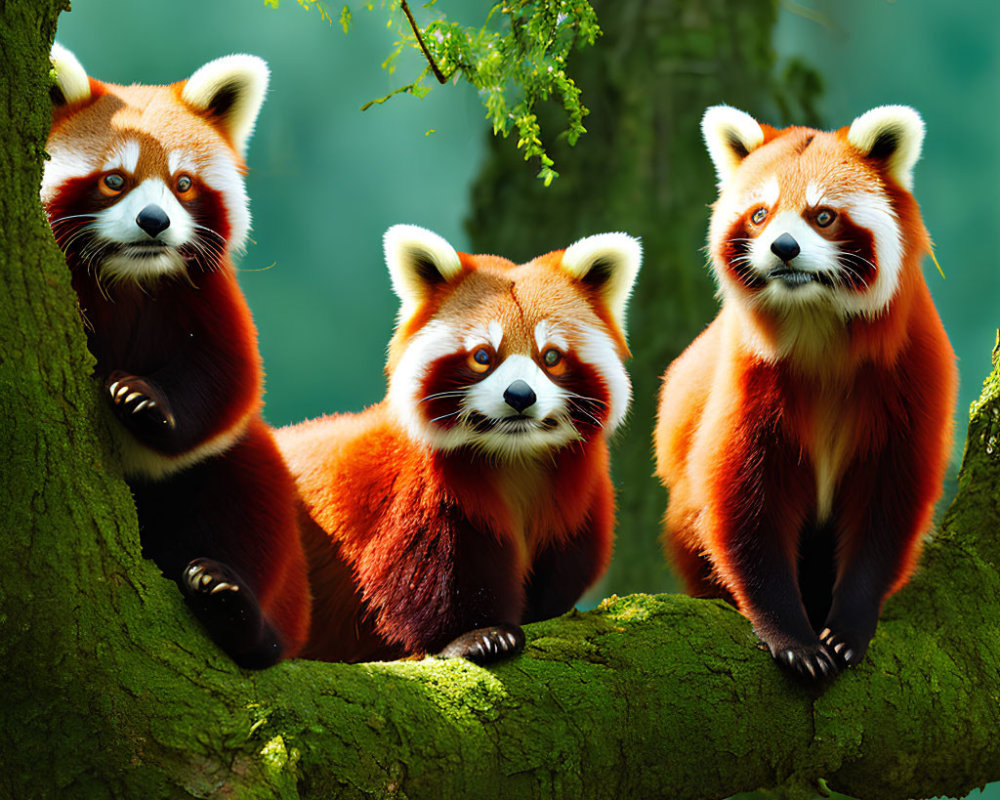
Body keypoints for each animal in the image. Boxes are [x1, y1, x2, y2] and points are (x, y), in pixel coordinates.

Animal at [43, 45, 310, 668]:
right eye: (115, 180)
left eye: (182, 184)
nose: (154, 222)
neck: (129, 274)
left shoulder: (202, 293)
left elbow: (226, 381)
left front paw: (142, 402)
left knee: (250, 499)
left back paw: (234, 609)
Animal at [276, 223, 640, 664]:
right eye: (483, 356)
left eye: (551, 357)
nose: (520, 395)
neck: (514, 457)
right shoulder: (422, 495)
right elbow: (430, 578)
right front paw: (475, 636)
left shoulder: (579, 501)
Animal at [652, 104, 956, 680]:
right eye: (760, 215)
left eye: (823, 216)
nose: (783, 249)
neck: (816, 318)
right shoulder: (749, 375)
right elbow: (743, 504)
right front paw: (792, 637)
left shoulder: (910, 370)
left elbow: (887, 507)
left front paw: (849, 628)